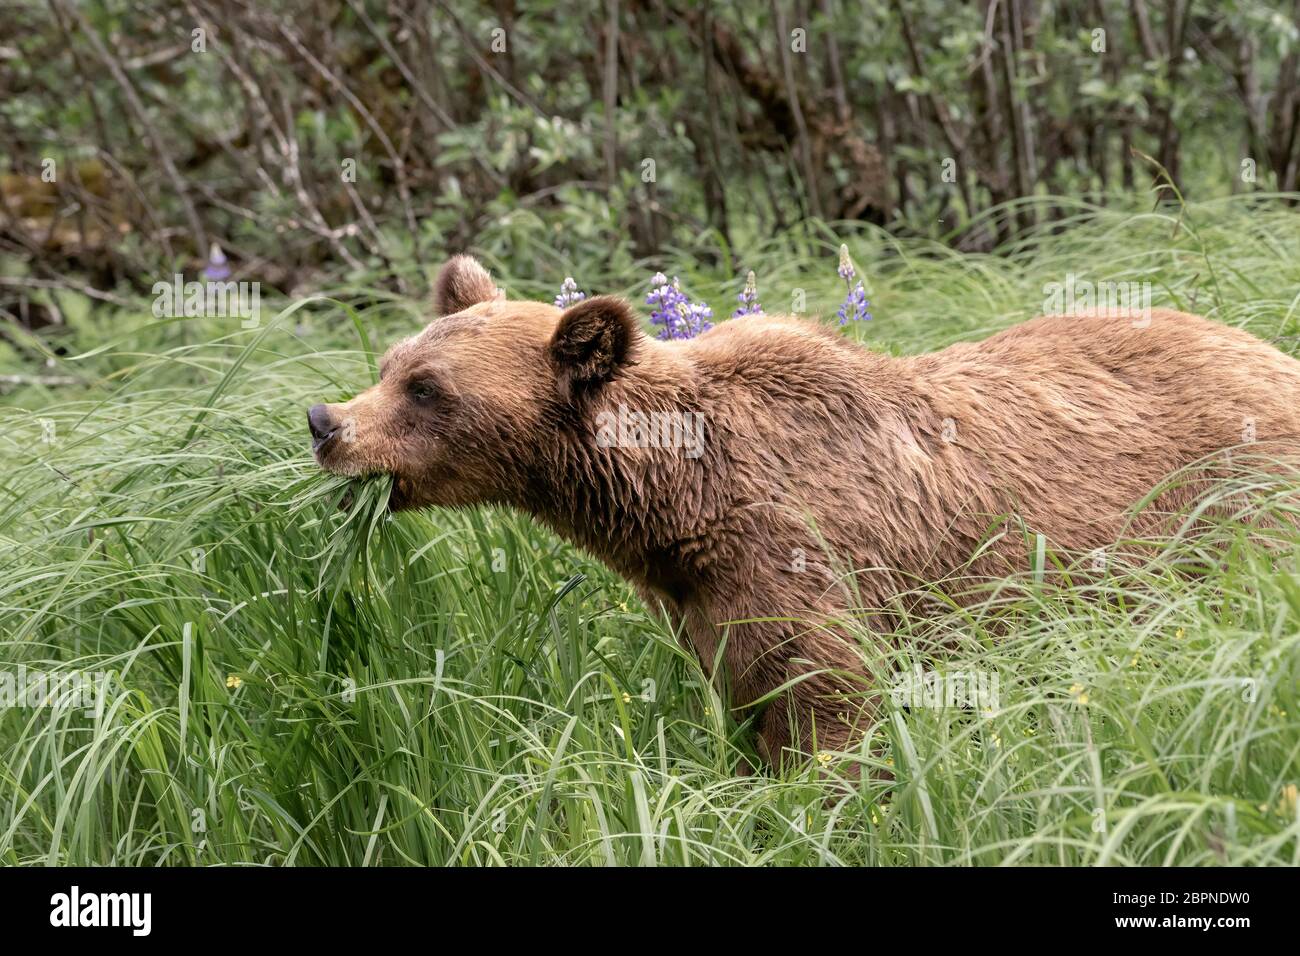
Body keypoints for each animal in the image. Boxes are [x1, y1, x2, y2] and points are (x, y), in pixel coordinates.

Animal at [309, 252, 1300, 770]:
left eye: (427, 388)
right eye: (391, 361)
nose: (327, 424)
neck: (678, 508)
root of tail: (1272, 355)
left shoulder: (809, 564)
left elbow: (828, 715)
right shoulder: (703, 604)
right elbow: (743, 700)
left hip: (1229, 512)